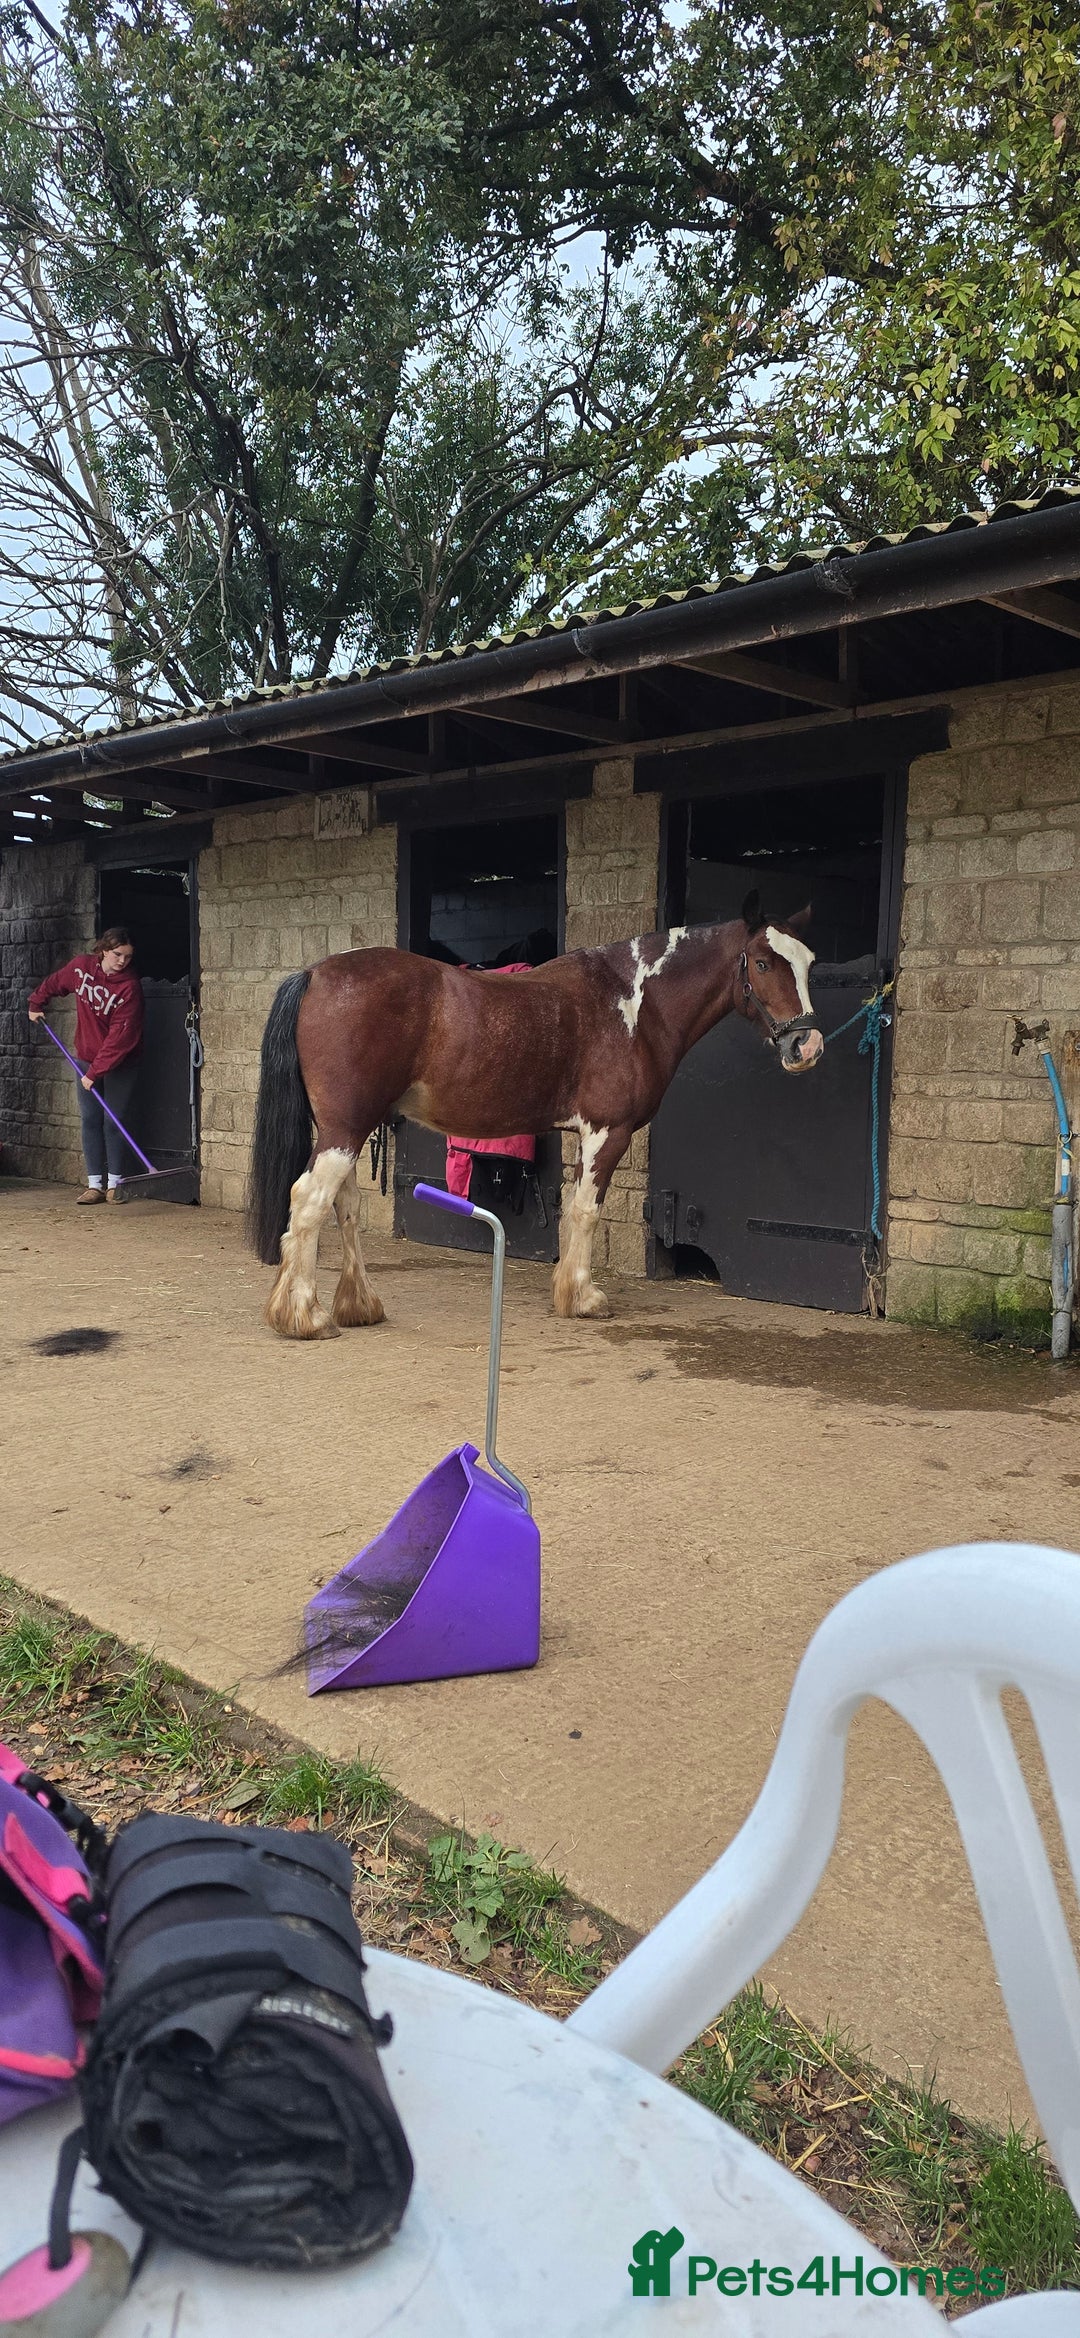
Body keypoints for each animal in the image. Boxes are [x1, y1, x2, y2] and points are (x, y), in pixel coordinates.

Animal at [246, 889, 823, 1339]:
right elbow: (587, 1211)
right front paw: (584, 1299)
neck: (634, 1005)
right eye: (763, 963)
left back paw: (358, 1306)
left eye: (809, 963)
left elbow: (572, 1209)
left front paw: (569, 1290)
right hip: (344, 1129)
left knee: (342, 1206)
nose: (808, 1045)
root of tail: (315, 974)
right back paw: (305, 1316)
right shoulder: (607, 1131)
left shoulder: (585, 1134)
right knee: (309, 1202)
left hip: (346, 1128)